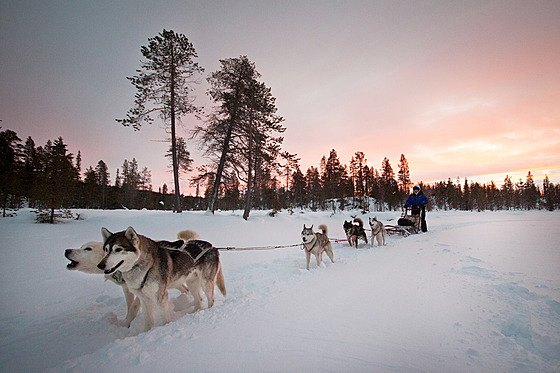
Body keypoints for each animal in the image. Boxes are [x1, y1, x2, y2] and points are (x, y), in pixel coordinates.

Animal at [97, 227, 225, 332]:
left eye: (118, 249)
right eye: (106, 249)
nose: (100, 265)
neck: (143, 266)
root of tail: (212, 247)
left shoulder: (160, 297)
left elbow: (165, 319)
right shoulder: (144, 298)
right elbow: (148, 321)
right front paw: (146, 333)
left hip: (206, 283)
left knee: (211, 300)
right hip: (192, 283)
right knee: (198, 300)